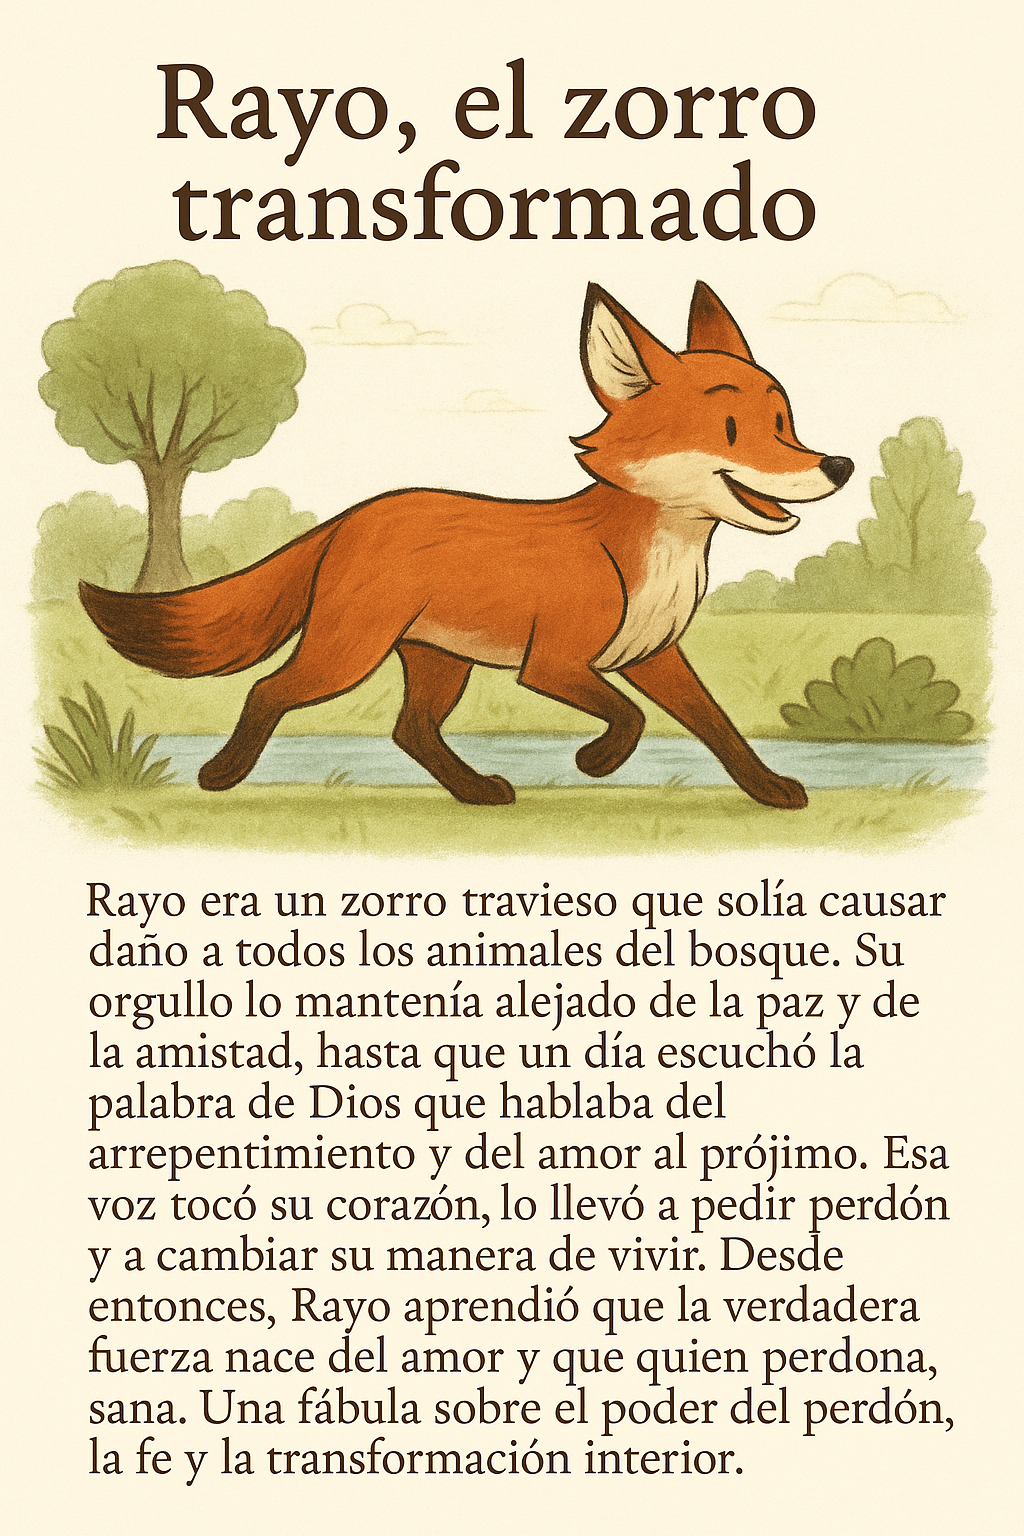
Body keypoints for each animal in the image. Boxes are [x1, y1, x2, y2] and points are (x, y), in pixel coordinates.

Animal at [80, 281, 853, 809]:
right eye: (731, 430)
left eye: (785, 423)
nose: (840, 466)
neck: (656, 553)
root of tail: (355, 515)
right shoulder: (555, 665)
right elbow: (629, 716)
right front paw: (598, 763)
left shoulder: (654, 657)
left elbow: (720, 728)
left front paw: (769, 789)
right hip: (347, 654)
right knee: (270, 689)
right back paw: (222, 775)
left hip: (437, 663)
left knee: (410, 731)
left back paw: (474, 790)